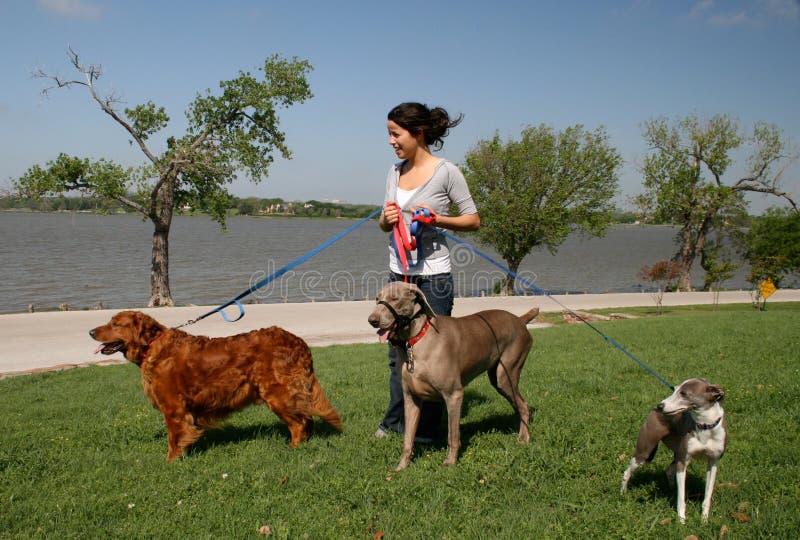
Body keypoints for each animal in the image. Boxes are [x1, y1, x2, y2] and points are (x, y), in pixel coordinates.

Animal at [89, 312, 342, 460]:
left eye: (115, 324)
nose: (90, 331)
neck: (152, 346)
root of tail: (299, 342)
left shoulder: (174, 410)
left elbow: (175, 440)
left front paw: (171, 462)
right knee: (306, 419)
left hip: (278, 394)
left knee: (299, 423)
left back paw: (293, 449)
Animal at [368, 280, 536, 470]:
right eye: (377, 299)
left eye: (395, 298)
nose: (372, 320)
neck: (416, 340)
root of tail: (520, 319)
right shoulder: (411, 398)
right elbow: (408, 439)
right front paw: (401, 467)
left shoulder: (454, 395)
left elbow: (452, 435)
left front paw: (450, 462)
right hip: (498, 378)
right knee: (518, 405)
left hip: (505, 374)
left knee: (524, 406)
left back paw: (524, 439)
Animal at [620, 380, 728, 524]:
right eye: (674, 389)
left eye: (684, 393)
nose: (660, 406)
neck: (705, 426)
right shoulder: (683, 462)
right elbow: (681, 498)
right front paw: (681, 521)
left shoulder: (713, 463)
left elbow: (707, 496)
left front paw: (704, 520)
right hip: (644, 451)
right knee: (627, 471)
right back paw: (623, 493)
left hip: (676, 451)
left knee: (669, 469)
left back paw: (671, 489)